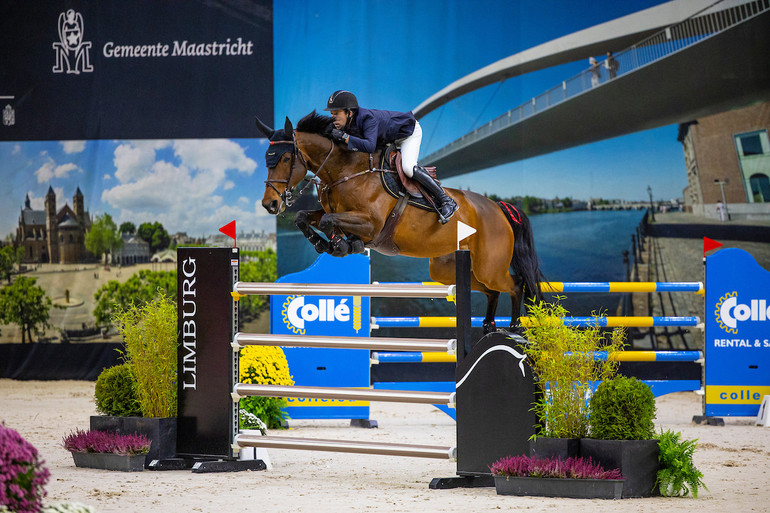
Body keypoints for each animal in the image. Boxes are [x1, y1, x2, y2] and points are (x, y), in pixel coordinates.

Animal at [256, 111, 540, 332]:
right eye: (266, 158)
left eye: (285, 158)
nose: (270, 204)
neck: (345, 171)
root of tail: (499, 208)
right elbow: (306, 217)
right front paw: (324, 243)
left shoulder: (372, 224)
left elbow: (328, 220)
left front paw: (343, 244)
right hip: (449, 270)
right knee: (492, 290)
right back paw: (489, 327)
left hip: (489, 266)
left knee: (515, 284)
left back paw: (514, 327)